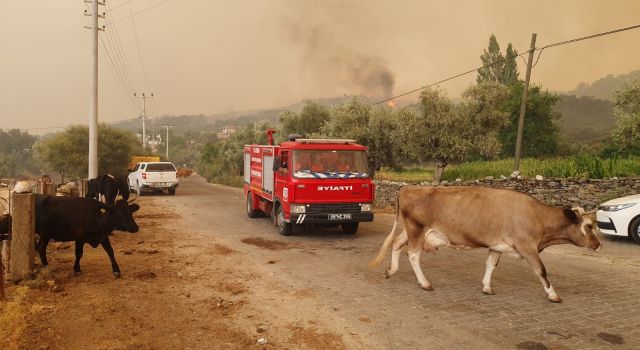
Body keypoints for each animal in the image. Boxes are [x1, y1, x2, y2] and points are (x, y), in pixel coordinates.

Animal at [368, 186, 604, 304]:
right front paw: (553, 295)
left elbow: (491, 265)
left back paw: (391, 270)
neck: (536, 215)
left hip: (411, 230)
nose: (599, 244)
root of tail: (408, 189)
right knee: (413, 254)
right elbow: (542, 270)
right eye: (589, 225)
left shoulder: (497, 245)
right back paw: (424, 283)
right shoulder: (527, 247)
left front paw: (486, 287)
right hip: (417, 229)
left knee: (396, 244)